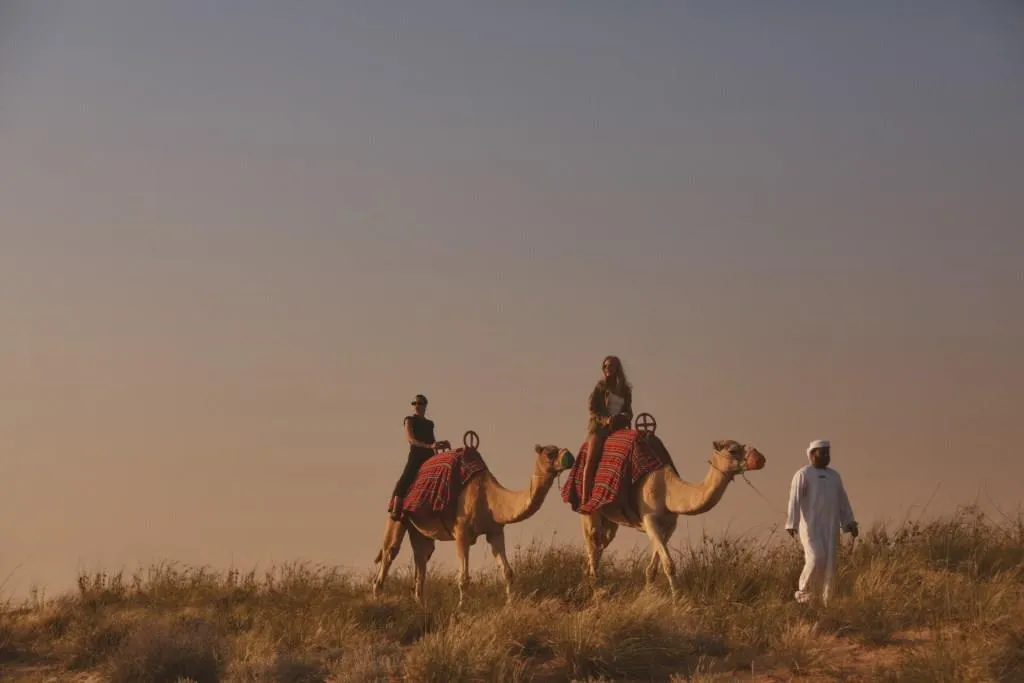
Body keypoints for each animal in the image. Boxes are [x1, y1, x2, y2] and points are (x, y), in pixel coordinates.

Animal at [372, 438, 577, 610]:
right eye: (550, 453)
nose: (570, 457)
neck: (490, 497)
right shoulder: (461, 532)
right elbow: (464, 578)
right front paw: (462, 608)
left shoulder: (495, 531)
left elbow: (508, 572)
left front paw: (510, 604)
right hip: (397, 518)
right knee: (389, 554)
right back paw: (379, 603)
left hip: (420, 532)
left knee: (421, 561)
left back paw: (420, 606)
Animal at [573, 413, 765, 593]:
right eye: (733, 450)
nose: (760, 458)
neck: (668, 492)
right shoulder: (650, 521)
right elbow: (669, 565)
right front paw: (677, 600)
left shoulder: (670, 525)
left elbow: (652, 568)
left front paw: (648, 595)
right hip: (589, 511)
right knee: (593, 543)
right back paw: (597, 591)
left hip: (611, 521)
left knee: (599, 547)